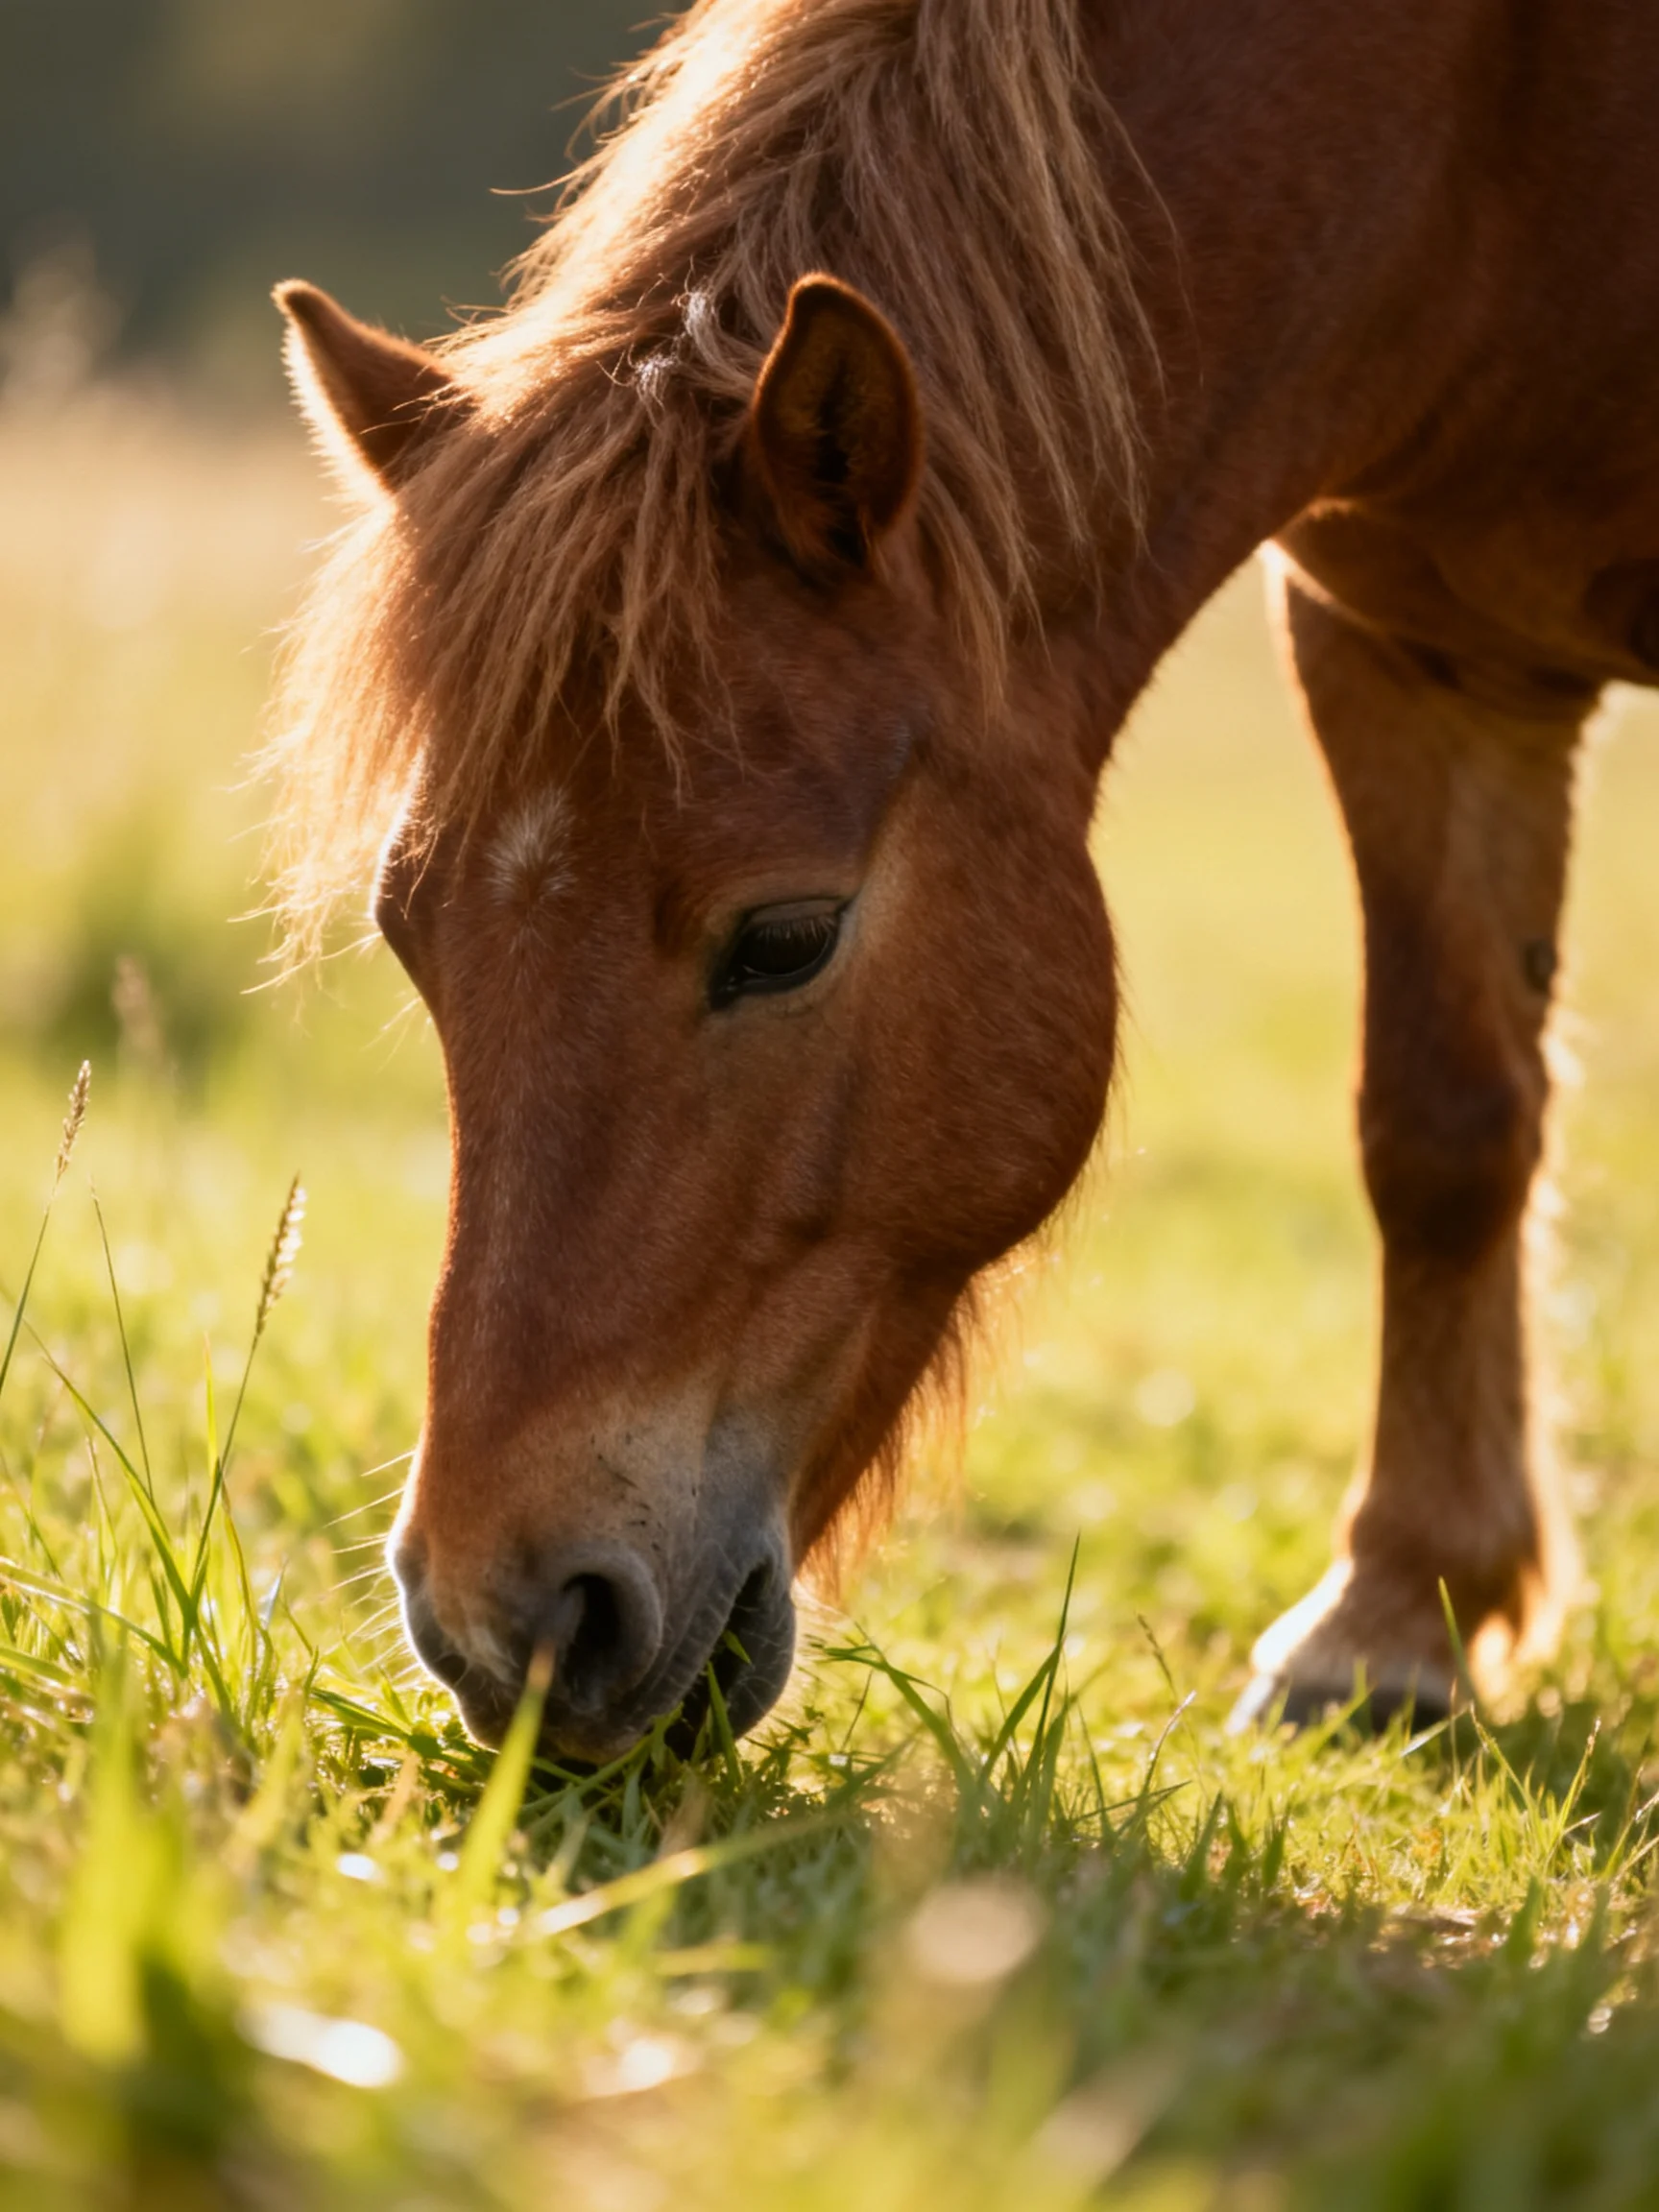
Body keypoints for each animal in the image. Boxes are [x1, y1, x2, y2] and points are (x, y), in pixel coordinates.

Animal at [270, 0, 1659, 1762]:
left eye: (787, 937)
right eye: (410, 934)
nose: (504, 1625)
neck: (1496, 119)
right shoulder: (1414, 650)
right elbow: (1444, 1127)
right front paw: (1396, 1618)